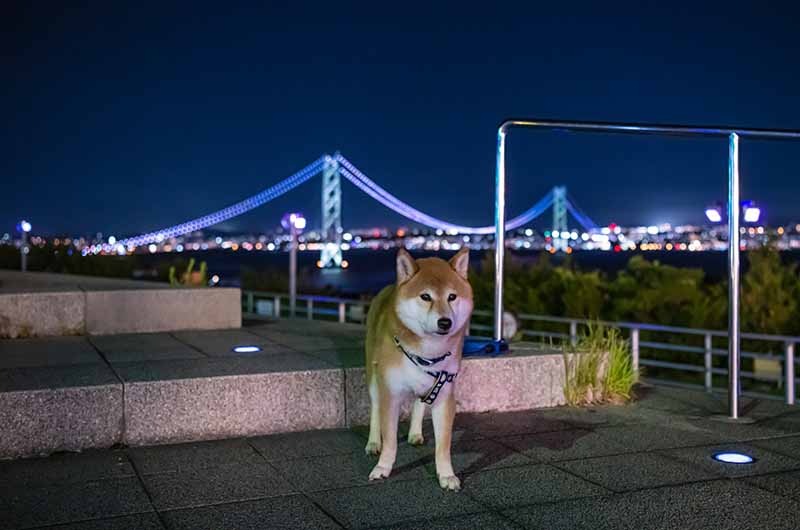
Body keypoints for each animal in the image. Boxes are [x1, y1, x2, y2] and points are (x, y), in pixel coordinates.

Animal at [364, 245, 472, 488]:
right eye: (425, 296)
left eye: (452, 297)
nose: (445, 322)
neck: (427, 354)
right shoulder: (390, 393)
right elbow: (390, 440)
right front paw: (383, 468)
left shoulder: (444, 393)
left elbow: (443, 445)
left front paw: (446, 474)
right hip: (374, 377)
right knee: (375, 409)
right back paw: (373, 443)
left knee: (419, 404)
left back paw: (414, 433)